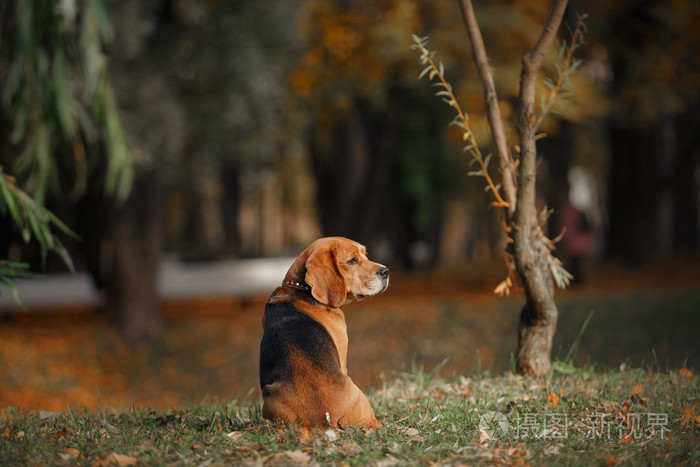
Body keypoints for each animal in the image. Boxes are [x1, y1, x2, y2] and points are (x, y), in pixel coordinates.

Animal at [258, 238, 388, 432]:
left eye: (365, 255)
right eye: (352, 261)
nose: (386, 271)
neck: (301, 291)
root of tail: (322, 421)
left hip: (268, 400)